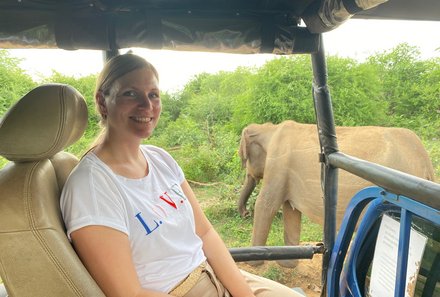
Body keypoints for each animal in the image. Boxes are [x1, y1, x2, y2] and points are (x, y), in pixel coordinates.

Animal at [239, 119, 434, 268]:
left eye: (244, 159)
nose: (245, 213)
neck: (270, 129)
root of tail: (426, 163)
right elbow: (291, 210)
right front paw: (287, 265)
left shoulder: (277, 162)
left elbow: (266, 204)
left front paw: (253, 265)